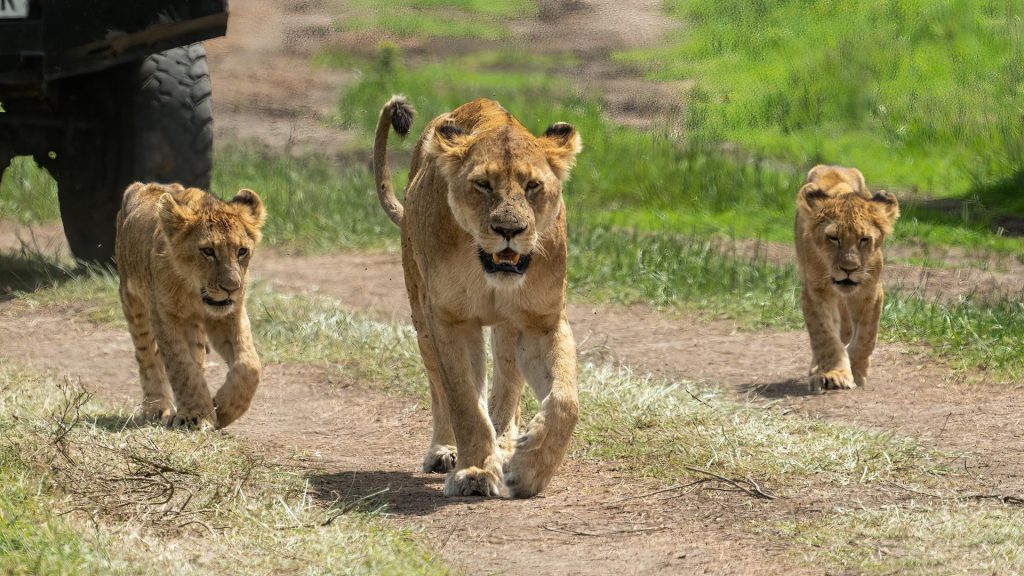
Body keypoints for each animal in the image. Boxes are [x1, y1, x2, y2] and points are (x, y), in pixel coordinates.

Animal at [115, 182, 265, 429]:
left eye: (242, 251)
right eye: (208, 251)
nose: (232, 287)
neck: (193, 290)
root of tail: (146, 185)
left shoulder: (229, 314)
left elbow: (249, 364)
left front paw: (224, 409)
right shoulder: (164, 316)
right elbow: (181, 367)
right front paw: (197, 415)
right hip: (132, 301)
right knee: (146, 355)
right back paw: (155, 408)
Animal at [373, 96, 582, 498]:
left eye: (533, 185)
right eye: (483, 184)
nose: (509, 229)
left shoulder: (542, 322)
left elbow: (565, 400)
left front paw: (529, 468)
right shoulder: (449, 319)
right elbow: (464, 402)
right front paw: (474, 472)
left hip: (507, 329)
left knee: (507, 387)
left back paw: (506, 445)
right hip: (422, 315)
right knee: (440, 388)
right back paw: (445, 451)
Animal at [795, 165, 900, 391]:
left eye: (864, 239)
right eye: (833, 238)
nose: (849, 269)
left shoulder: (870, 291)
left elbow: (866, 336)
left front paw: (858, 371)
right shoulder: (815, 292)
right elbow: (824, 336)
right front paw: (835, 374)